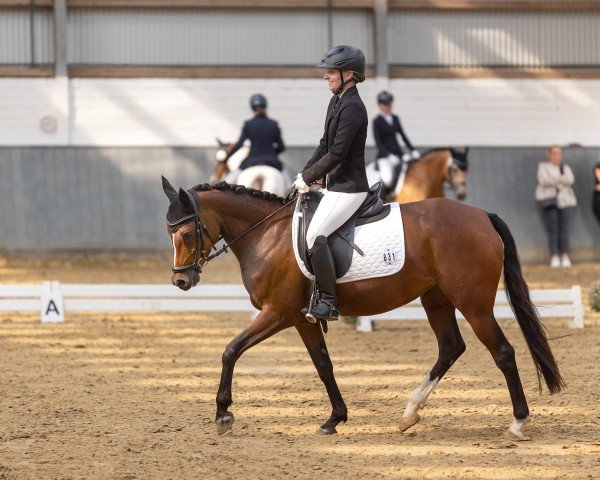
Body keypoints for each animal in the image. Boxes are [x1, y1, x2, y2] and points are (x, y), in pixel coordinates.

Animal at [161, 176, 564, 438]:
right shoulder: (302, 319)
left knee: (502, 352)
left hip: (473, 303)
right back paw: (409, 413)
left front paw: (223, 413)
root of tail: (482, 215)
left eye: (186, 233)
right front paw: (335, 419)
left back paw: (518, 422)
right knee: (451, 347)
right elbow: (323, 366)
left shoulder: (277, 312)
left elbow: (230, 350)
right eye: (170, 233)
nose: (181, 281)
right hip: (436, 298)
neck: (266, 234)